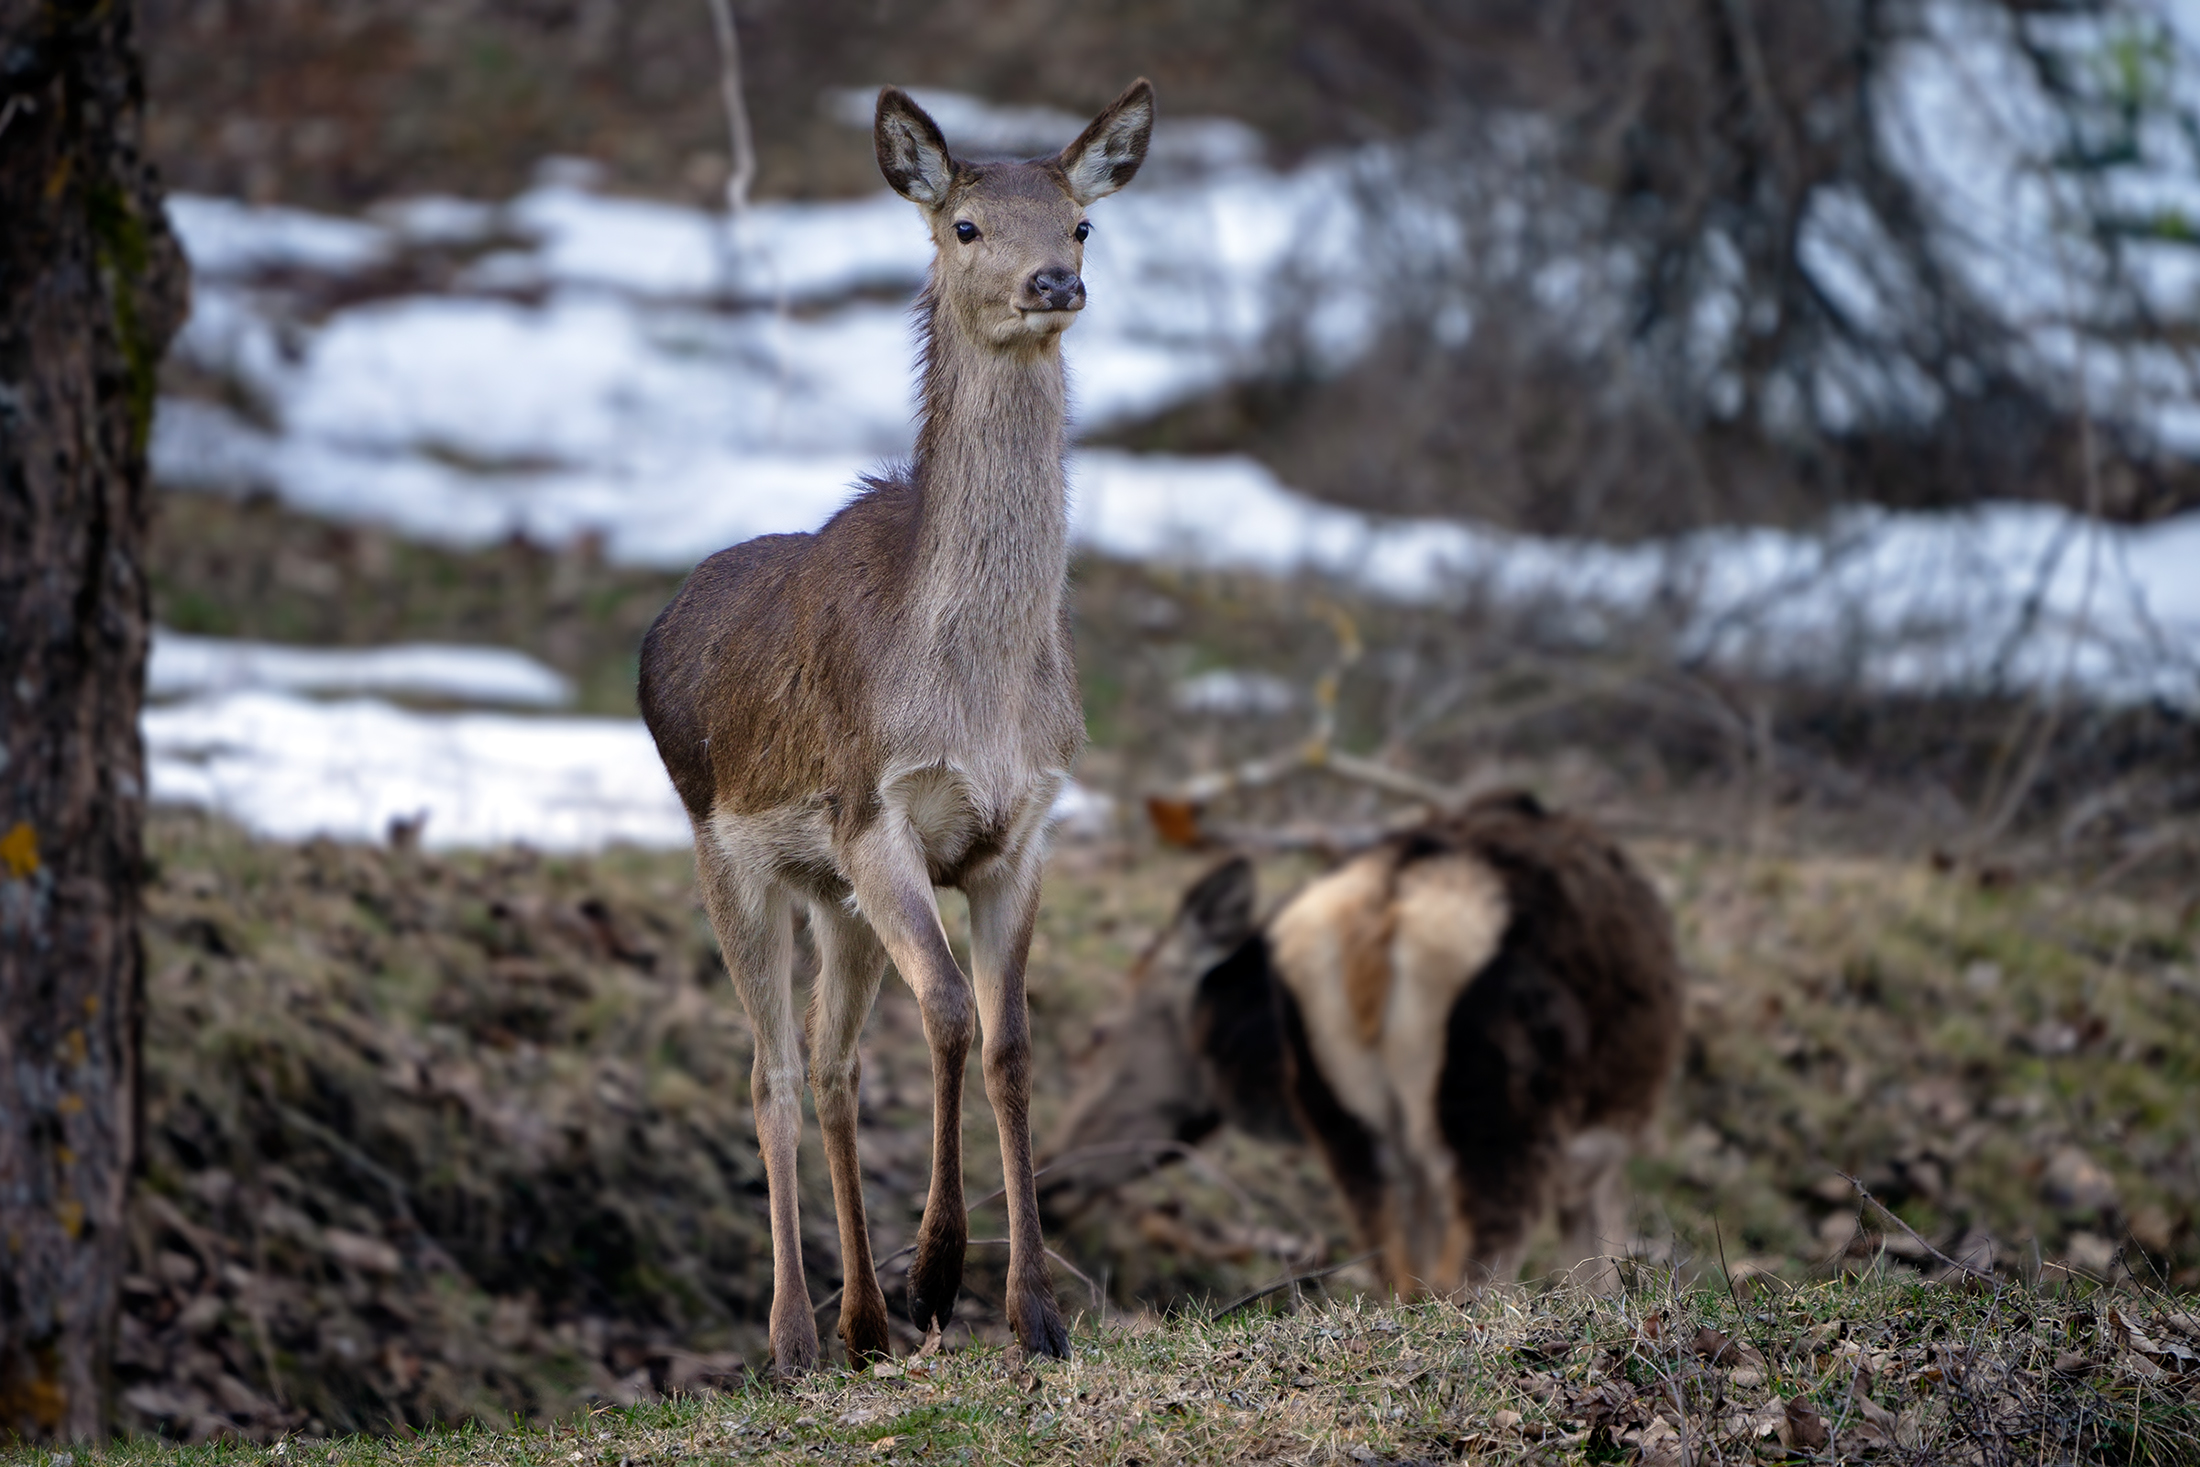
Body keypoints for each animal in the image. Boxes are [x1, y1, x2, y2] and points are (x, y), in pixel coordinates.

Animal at [637, 80, 1155, 1372]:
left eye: (1080, 222)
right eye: (965, 224)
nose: (1053, 284)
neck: (978, 687)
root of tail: (658, 628)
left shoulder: (1026, 827)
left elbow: (1012, 1041)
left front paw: (1031, 1312)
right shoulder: (879, 813)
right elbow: (953, 1013)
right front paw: (940, 1275)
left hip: (831, 895)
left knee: (831, 1063)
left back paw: (860, 1321)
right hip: (730, 853)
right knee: (770, 1072)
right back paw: (792, 1335)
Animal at [1044, 791, 1684, 1297]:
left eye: (1100, 1033)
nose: (1052, 1174)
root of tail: (1381, 914)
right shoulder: (1599, 1159)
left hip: (1355, 1131)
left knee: (1408, 1283)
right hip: (1502, 1122)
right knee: (1466, 1283)